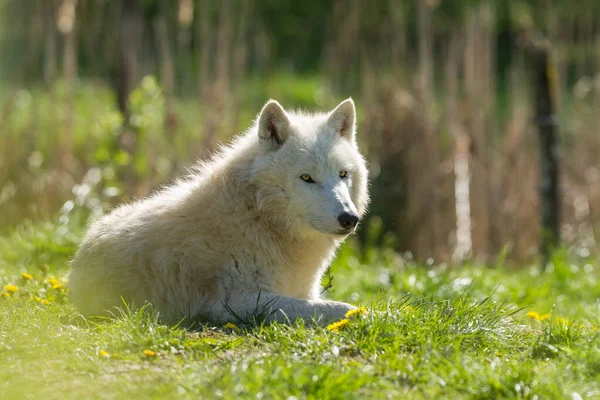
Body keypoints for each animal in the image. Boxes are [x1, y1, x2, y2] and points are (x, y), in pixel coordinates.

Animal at [70, 98, 370, 326]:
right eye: (307, 178)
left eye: (343, 174)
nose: (349, 218)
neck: (258, 217)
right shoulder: (239, 302)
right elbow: (343, 308)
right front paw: (365, 314)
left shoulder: (304, 291)